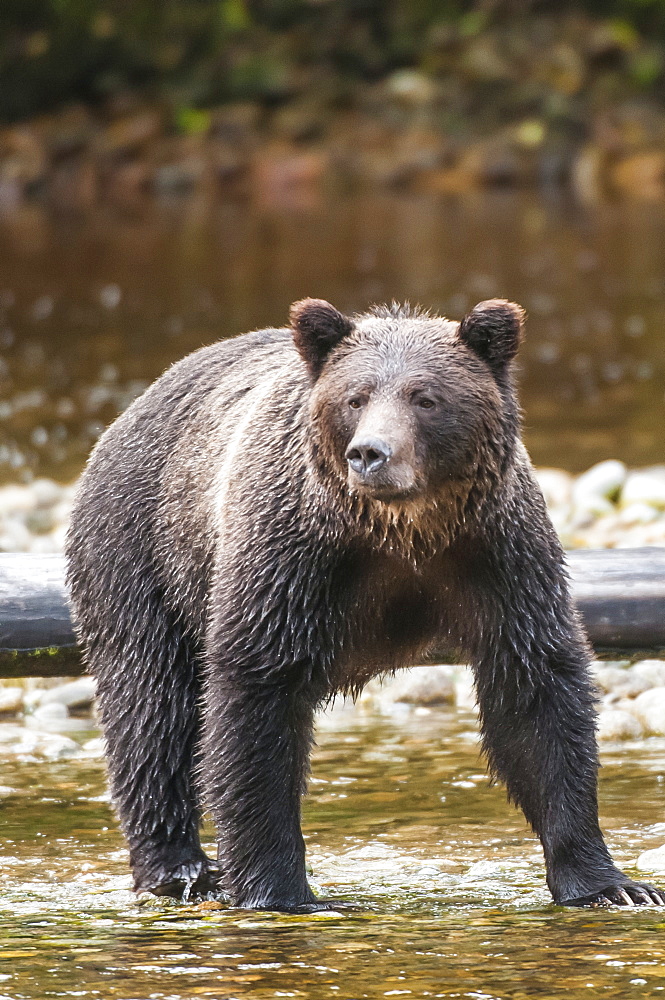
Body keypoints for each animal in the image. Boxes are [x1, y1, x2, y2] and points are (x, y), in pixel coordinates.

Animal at [66, 294, 660, 908]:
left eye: (425, 396)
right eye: (356, 397)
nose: (370, 453)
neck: (403, 531)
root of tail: (130, 411)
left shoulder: (499, 555)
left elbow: (536, 694)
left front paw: (611, 884)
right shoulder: (289, 555)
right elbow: (254, 698)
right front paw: (279, 889)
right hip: (143, 554)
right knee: (152, 706)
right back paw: (179, 867)